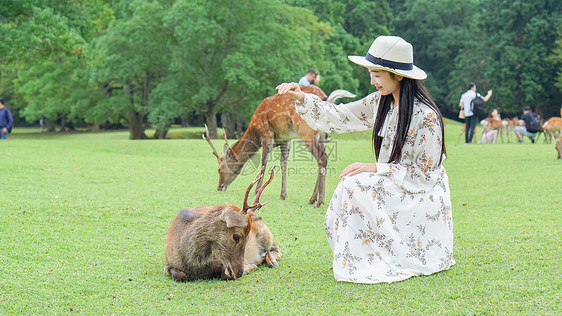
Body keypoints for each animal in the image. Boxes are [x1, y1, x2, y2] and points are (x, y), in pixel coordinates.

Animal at [203, 84, 354, 207]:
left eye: (219, 169)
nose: (219, 187)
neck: (254, 130)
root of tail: (325, 99)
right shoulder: (285, 139)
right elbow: (283, 163)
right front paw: (283, 194)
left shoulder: (266, 134)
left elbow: (264, 162)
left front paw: (256, 190)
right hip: (321, 134)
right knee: (322, 158)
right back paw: (313, 198)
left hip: (306, 131)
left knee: (322, 157)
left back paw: (319, 201)